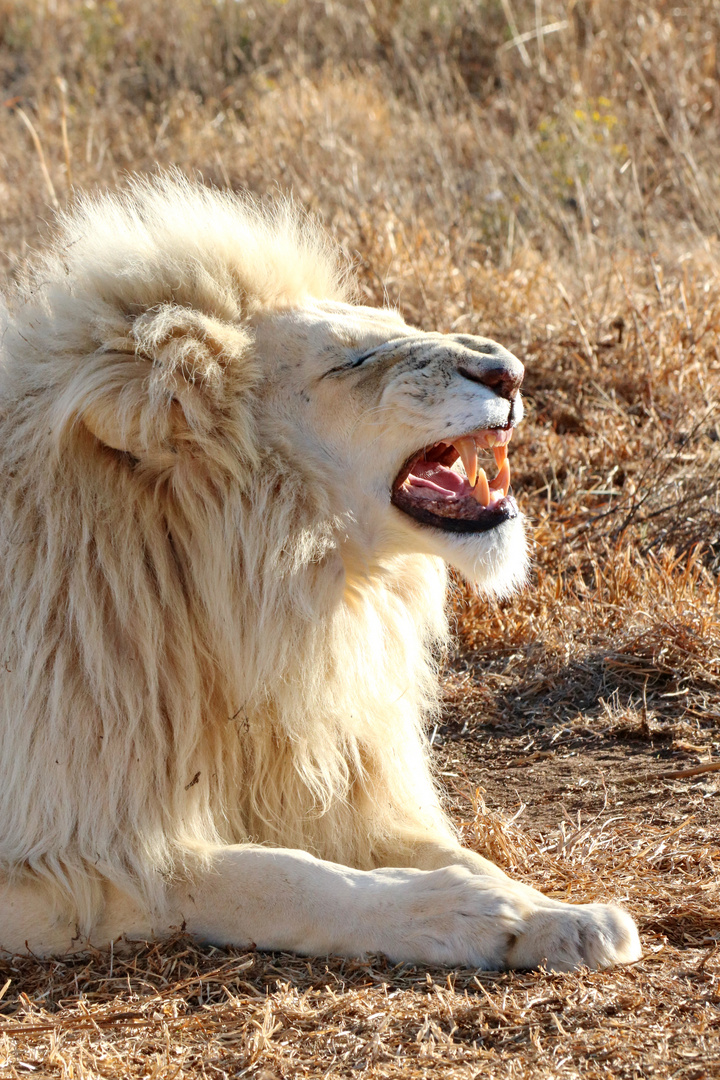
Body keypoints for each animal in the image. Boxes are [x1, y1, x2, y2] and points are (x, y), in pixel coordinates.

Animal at [0, 177, 643, 972]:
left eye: (394, 323)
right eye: (351, 363)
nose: (510, 372)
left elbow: (454, 852)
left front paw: (552, 913)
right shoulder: (73, 854)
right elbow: (271, 877)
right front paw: (464, 913)